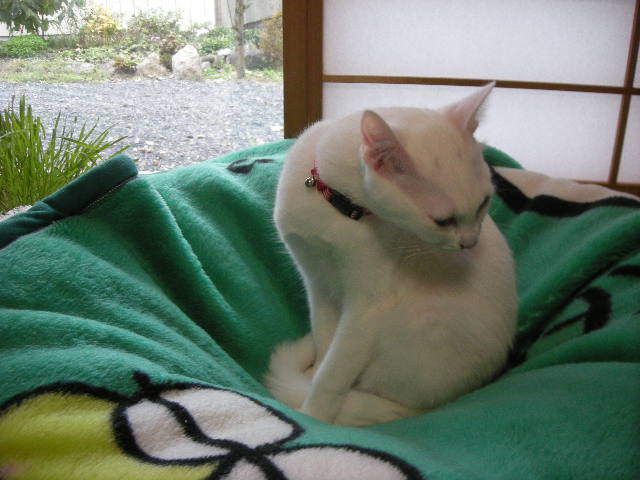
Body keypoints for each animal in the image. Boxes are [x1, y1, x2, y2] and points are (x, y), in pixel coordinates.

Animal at [265, 83, 517, 427]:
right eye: (443, 221)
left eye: (483, 204)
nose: (470, 244)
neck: (341, 213)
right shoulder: (317, 283)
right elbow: (324, 341)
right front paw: (313, 375)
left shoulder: (367, 306)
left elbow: (332, 374)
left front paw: (313, 417)